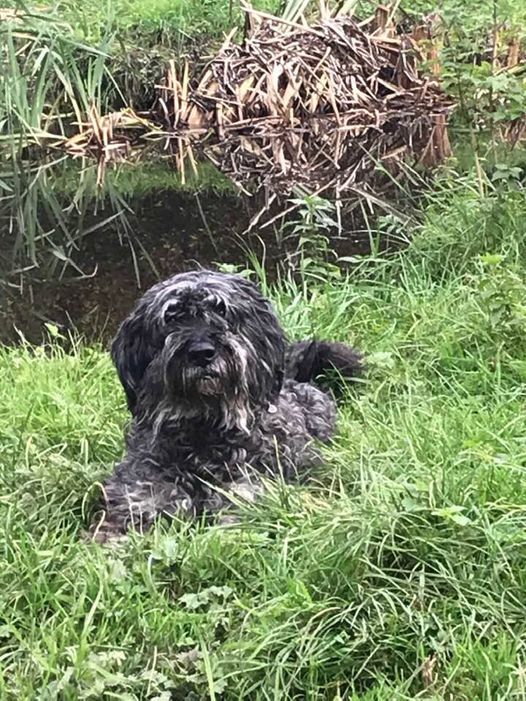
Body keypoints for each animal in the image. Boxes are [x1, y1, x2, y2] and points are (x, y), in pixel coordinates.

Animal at [89, 270, 364, 540]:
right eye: (172, 317)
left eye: (221, 310)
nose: (202, 352)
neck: (205, 429)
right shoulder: (141, 491)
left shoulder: (252, 490)